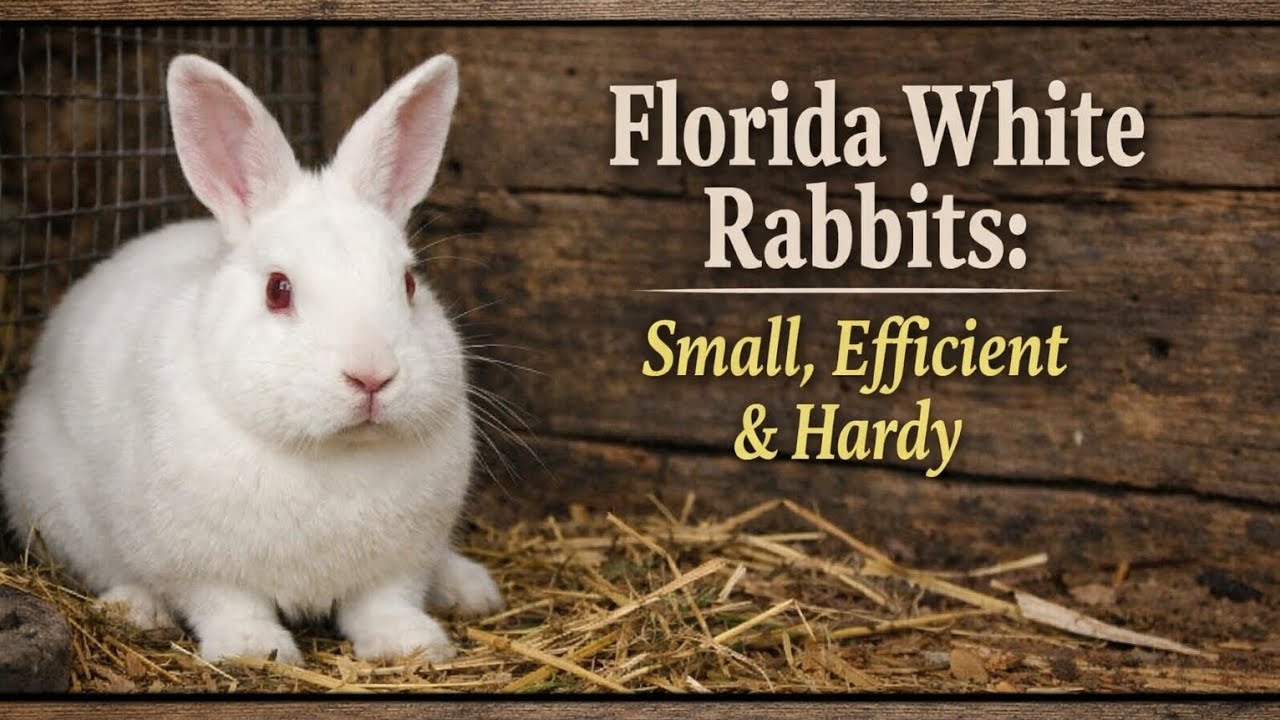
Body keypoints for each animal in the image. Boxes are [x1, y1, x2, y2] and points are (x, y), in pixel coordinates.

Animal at [0, 52, 504, 665]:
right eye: (277, 290)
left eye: (408, 283)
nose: (371, 376)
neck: (332, 455)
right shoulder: (201, 568)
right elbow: (229, 605)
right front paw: (253, 650)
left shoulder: (400, 564)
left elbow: (386, 602)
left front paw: (411, 645)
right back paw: (135, 609)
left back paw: (468, 588)